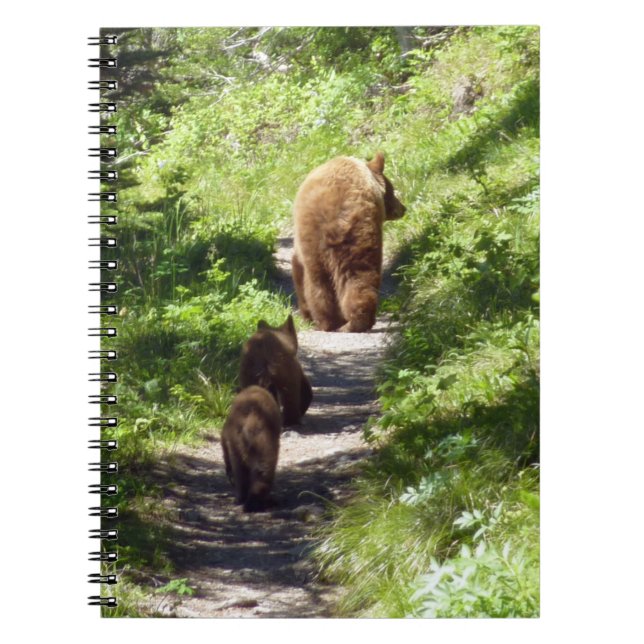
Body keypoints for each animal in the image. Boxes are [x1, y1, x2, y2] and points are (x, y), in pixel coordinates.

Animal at [292, 152, 406, 332]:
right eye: (392, 189)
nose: (403, 208)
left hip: (322, 239)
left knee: (321, 282)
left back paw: (330, 322)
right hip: (355, 236)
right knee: (358, 276)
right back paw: (353, 321)